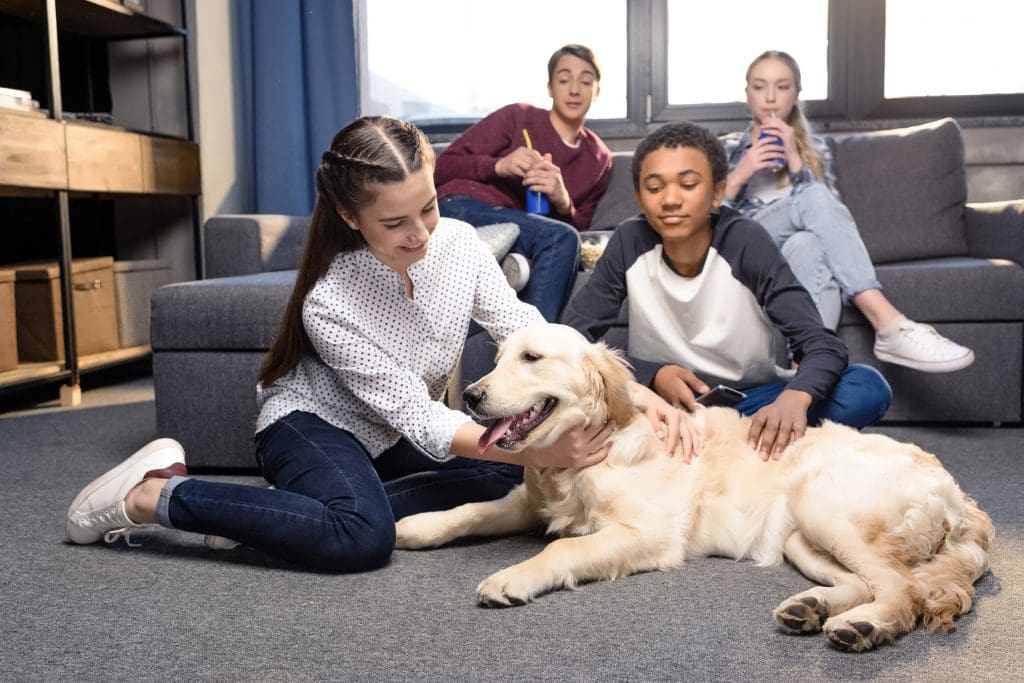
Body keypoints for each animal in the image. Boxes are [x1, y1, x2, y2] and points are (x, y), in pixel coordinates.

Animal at [395, 325, 995, 651]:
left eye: (532, 358)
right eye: (497, 360)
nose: (470, 396)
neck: (584, 455)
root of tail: (964, 502)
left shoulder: (649, 533)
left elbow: (562, 549)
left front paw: (512, 577)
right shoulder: (527, 501)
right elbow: (470, 509)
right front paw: (416, 526)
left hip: (825, 507)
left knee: (903, 590)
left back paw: (861, 627)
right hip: (800, 534)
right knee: (864, 583)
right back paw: (812, 609)